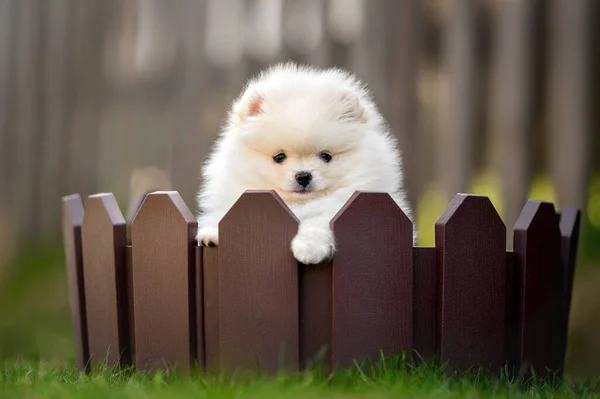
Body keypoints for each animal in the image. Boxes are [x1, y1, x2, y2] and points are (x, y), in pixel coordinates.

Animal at [196, 63, 412, 266]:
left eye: (326, 156)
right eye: (279, 157)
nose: (303, 176)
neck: (298, 204)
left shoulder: (335, 209)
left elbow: (317, 224)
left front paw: (309, 248)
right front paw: (212, 233)